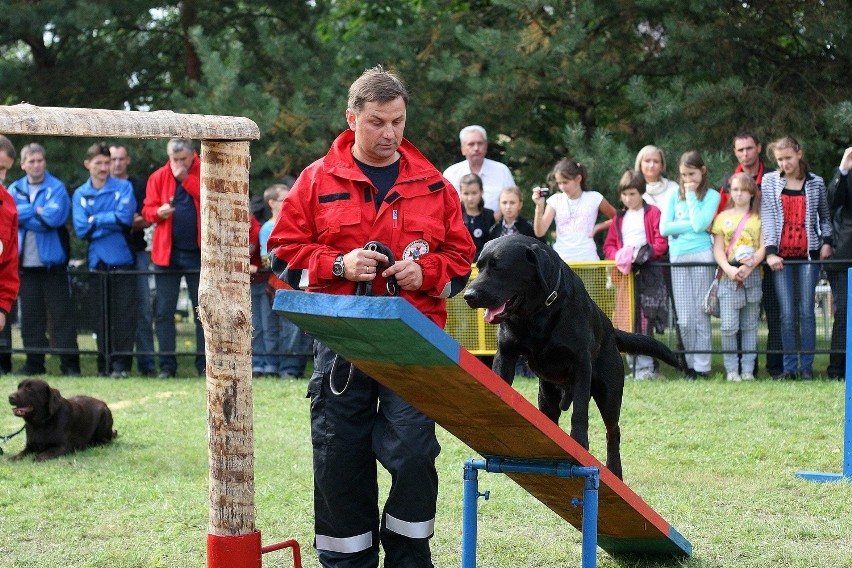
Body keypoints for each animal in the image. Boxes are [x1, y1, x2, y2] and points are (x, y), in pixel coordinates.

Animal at [466, 233, 680, 478]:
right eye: (479, 266)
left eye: (498, 267)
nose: (468, 295)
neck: (538, 314)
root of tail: (610, 329)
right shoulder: (506, 354)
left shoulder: (580, 364)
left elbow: (580, 411)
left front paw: (579, 442)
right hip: (546, 395)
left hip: (609, 392)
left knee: (613, 431)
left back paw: (614, 469)